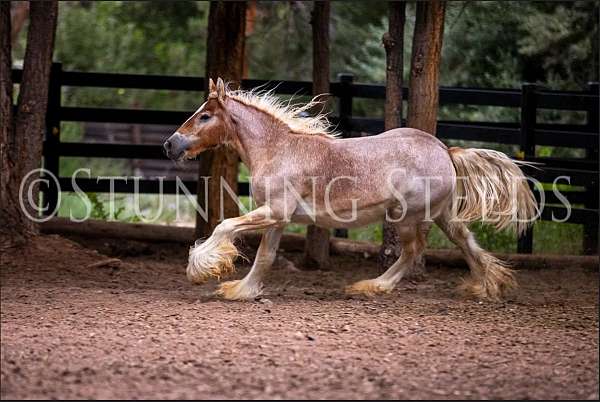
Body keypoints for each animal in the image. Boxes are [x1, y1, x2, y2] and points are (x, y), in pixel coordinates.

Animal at [164, 77, 540, 300]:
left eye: (205, 116)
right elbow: (265, 256)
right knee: (466, 242)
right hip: (442, 215)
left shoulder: (274, 211)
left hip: (407, 217)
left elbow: (225, 226)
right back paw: (486, 285)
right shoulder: (278, 219)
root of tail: (446, 150)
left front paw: (202, 269)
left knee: (413, 251)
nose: (170, 144)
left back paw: (372, 286)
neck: (278, 150)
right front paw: (243, 289)